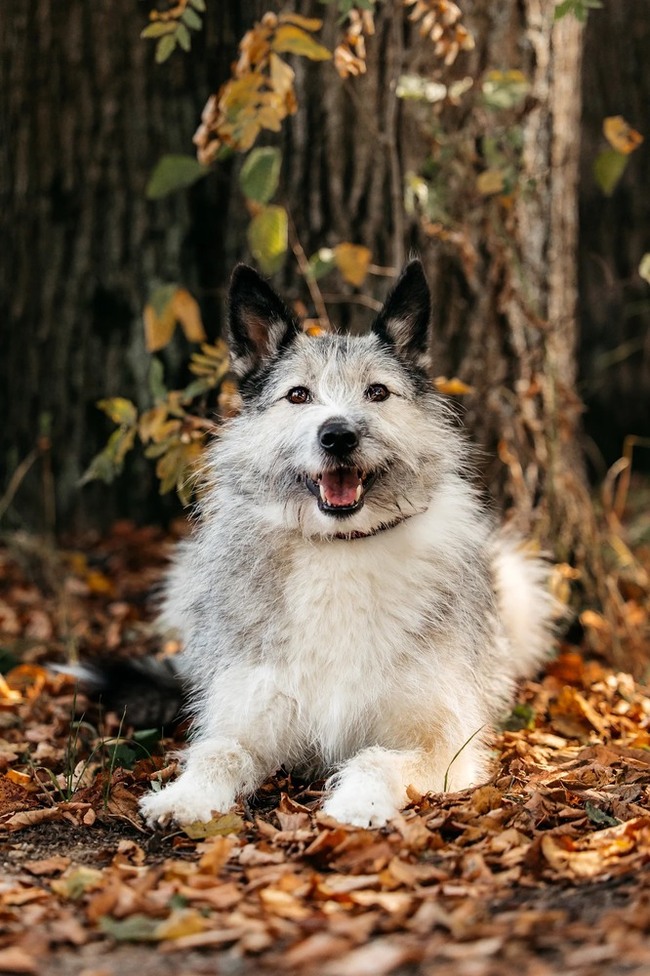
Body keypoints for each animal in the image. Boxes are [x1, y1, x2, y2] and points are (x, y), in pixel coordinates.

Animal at [139, 262, 556, 832]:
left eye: (377, 392)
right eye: (298, 395)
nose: (338, 435)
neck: (340, 547)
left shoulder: (445, 744)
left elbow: (377, 760)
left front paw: (359, 804)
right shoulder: (248, 714)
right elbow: (218, 751)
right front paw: (185, 796)